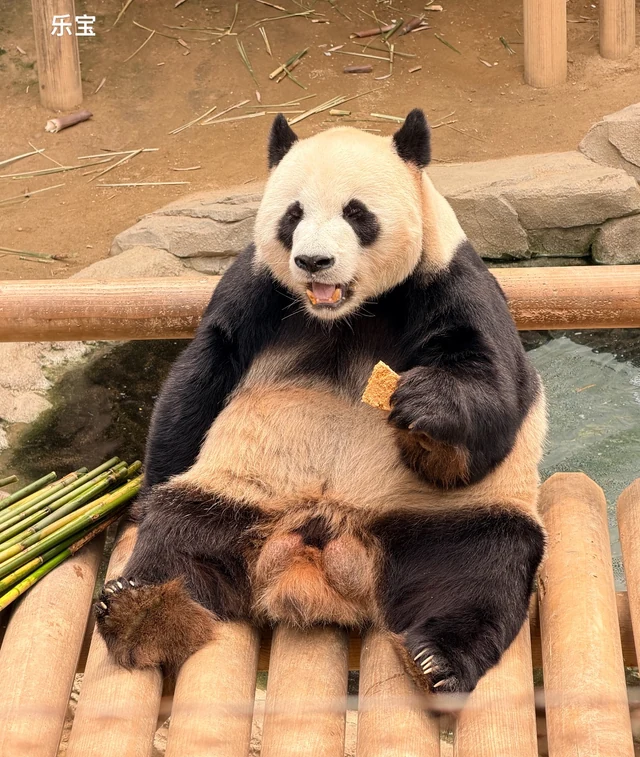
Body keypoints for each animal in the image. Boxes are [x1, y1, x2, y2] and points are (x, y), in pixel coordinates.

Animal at [95, 109, 547, 697]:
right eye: (293, 214)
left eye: (357, 213)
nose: (313, 261)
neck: (346, 312)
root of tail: (320, 557)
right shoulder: (255, 288)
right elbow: (201, 377)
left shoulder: (449, 280)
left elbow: (497, 392)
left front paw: (423, 409)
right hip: (240, 493)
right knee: (180, 535)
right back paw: (143, 610)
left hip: (442, 519)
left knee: (484, 565)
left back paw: (438, 659)